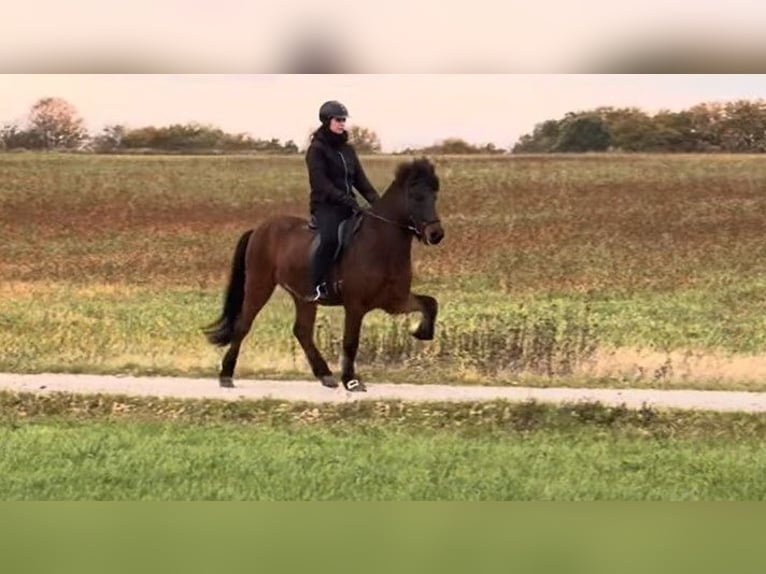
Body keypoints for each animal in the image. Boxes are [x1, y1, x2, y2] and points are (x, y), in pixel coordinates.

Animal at [203, 157, 445, 392]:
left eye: (435, 196)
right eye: (416, 196)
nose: (436, 234)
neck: (380, 243)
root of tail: (258, 229)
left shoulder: (395, 301)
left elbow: (430, 304)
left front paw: (421, 332)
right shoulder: (355, 305)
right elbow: (351, 342)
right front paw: (351, 381)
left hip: (303, 297)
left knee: (302, 331)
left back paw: (325, 375)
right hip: (259, 285)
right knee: (243, 325)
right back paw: (226, 376)